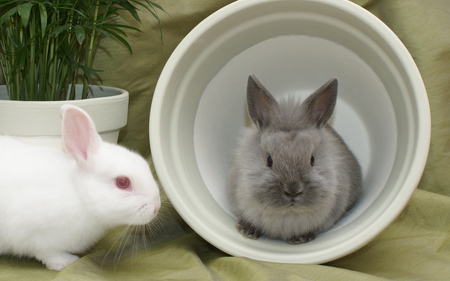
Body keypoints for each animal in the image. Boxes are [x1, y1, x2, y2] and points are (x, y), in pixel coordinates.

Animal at [0, 103, 161, 270]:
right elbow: (48, 253)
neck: (80, 195)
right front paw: (65, 262)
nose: (156, 207)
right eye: (122, 182)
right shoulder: (36, 236)